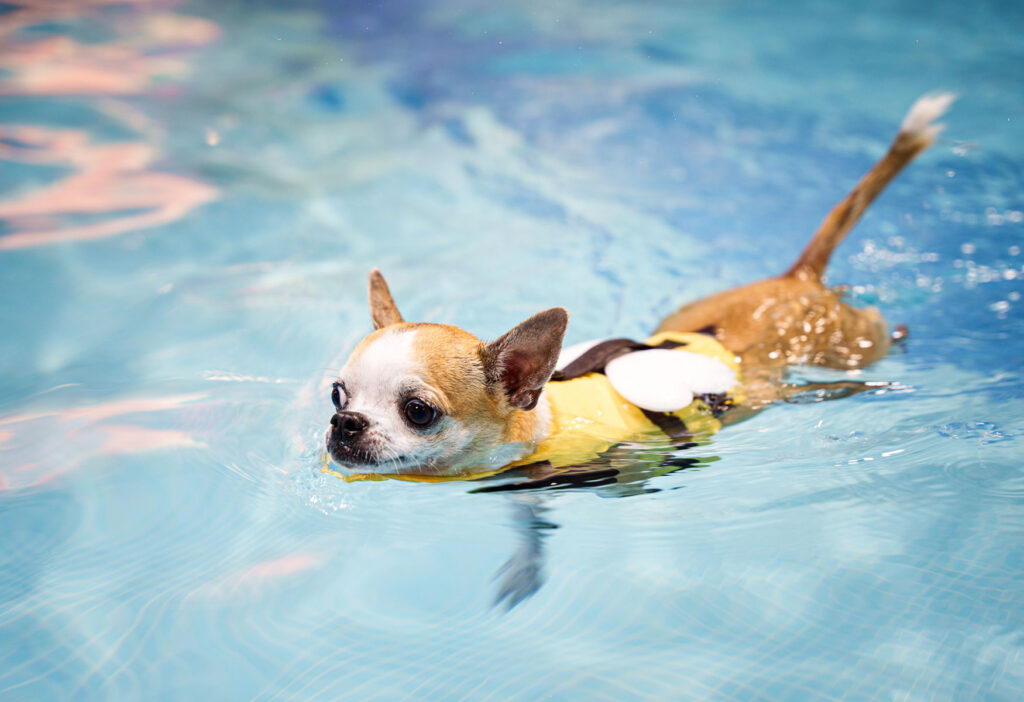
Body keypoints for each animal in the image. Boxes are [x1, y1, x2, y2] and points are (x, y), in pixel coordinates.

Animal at [325, 92, 950, 478]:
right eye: (336, 395)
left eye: (419, 411)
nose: (344, 422)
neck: (544, 423)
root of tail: (797, 276)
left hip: (853, 347)